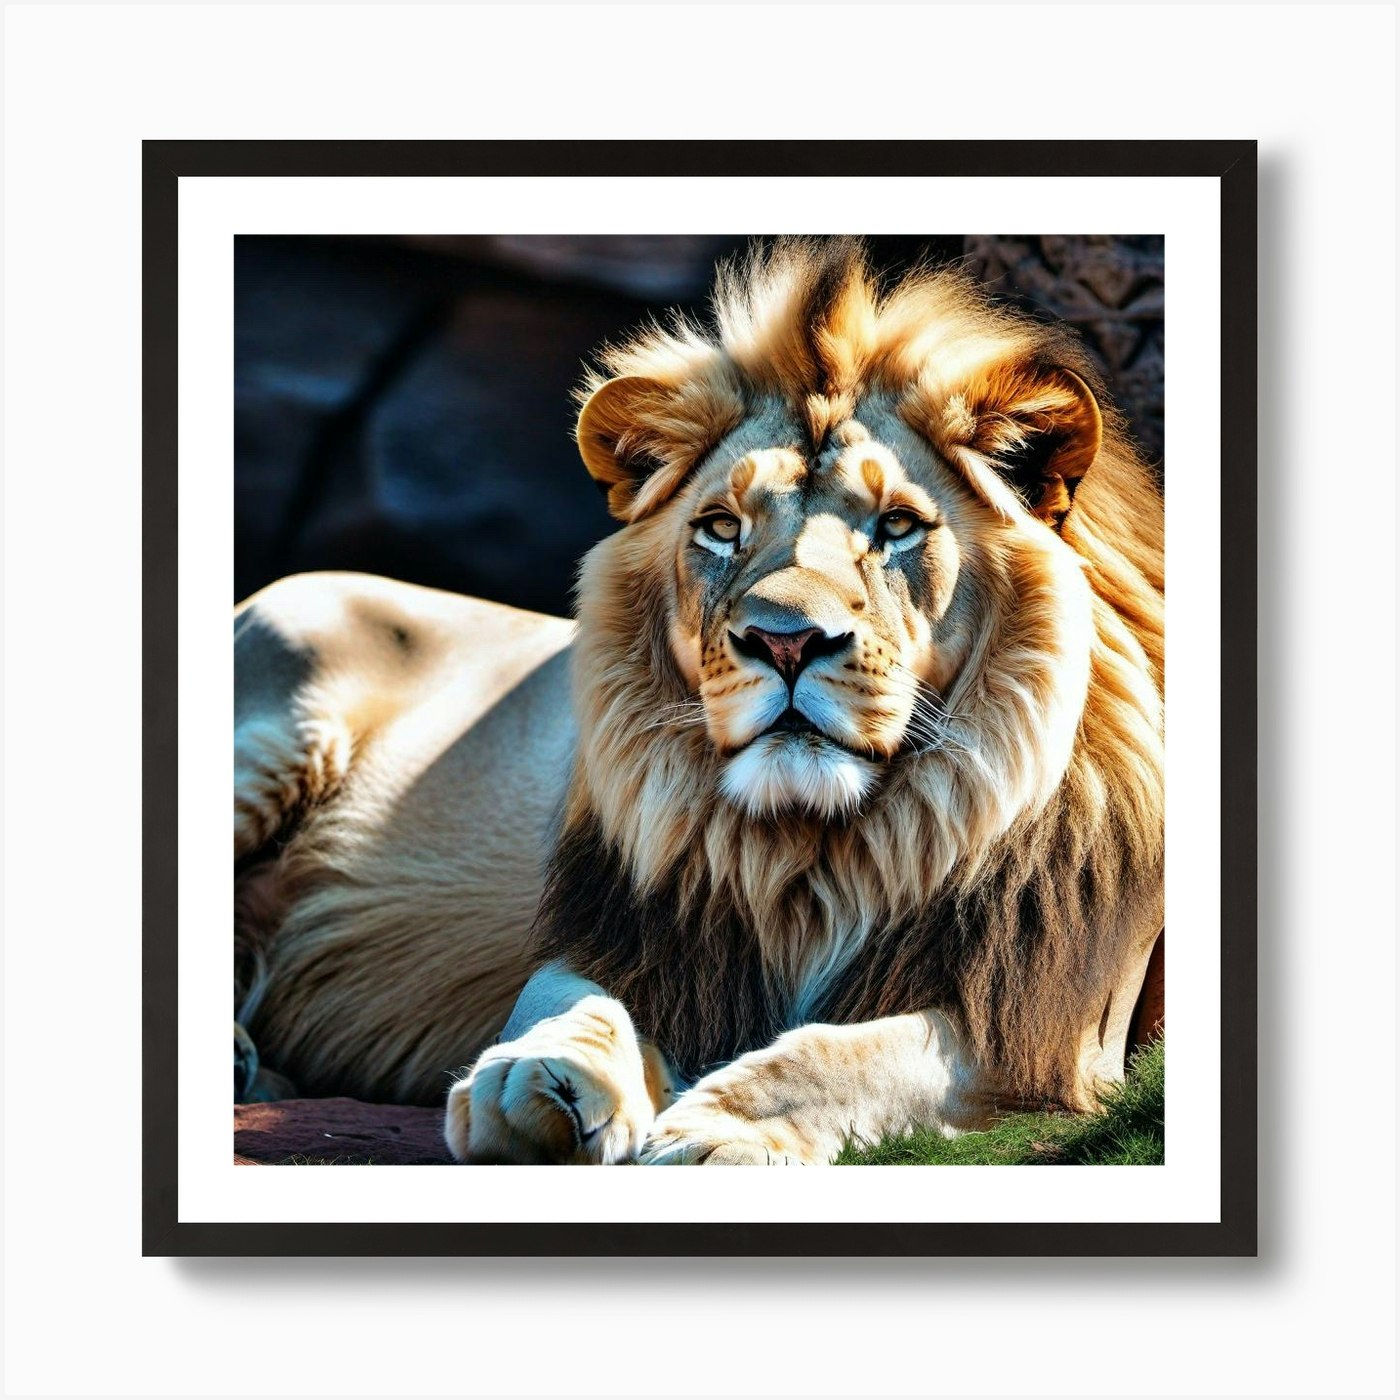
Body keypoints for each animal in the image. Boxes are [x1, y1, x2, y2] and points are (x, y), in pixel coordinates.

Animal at [234, 237, 1164, 1165]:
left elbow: (861, 1052)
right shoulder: (622, 938)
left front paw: (724, 1126)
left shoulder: (1048, 1033)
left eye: (897, 526)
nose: (786, 640)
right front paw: (540, 1080)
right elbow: (567, 1000)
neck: (814, 856)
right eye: (722, 528)